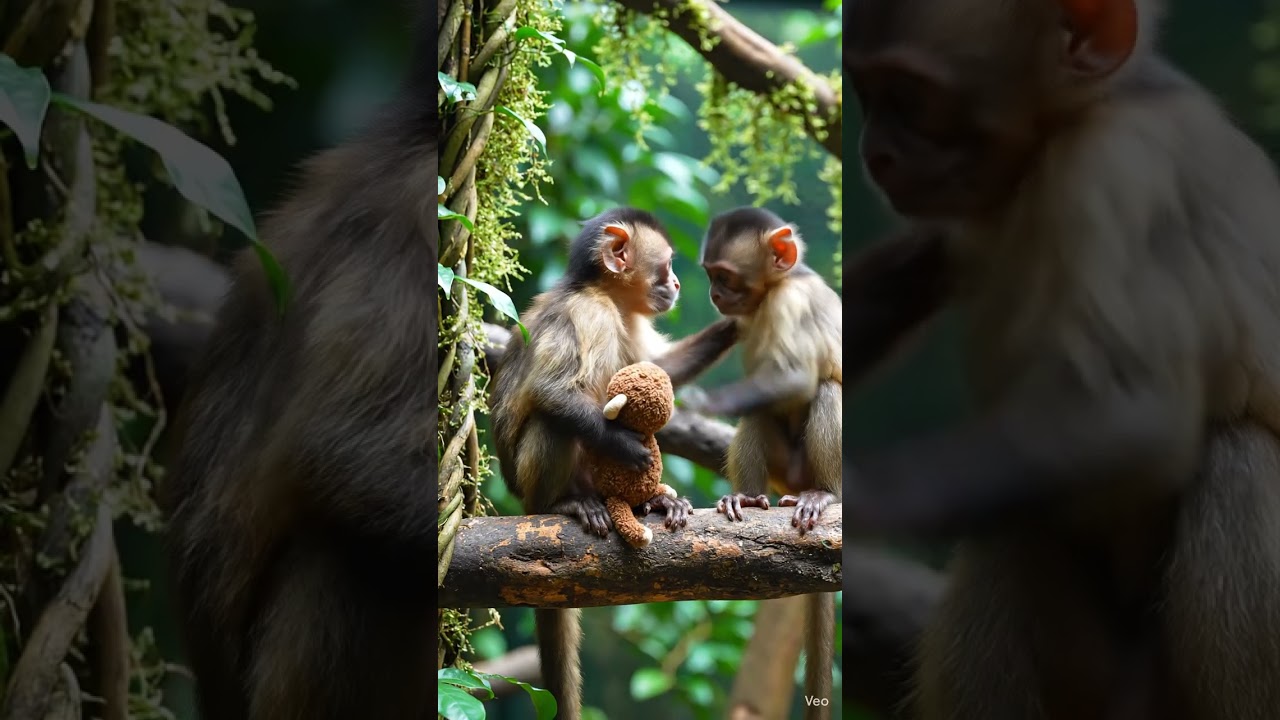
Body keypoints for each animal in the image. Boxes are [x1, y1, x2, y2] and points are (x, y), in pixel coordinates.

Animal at [488, 206, 740, 720]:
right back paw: (567, 504)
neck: (606, 295)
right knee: (553, 421)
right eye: (667, 265)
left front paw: (738, 323)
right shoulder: (590, 313)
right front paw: (629, 451)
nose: (677, 283)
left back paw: (650, 503)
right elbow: (551, 393)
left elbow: (663, 369)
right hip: (531, 484)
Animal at [687, 206, 841, 720]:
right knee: (757, 413)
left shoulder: (792, 300)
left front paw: (700, 402)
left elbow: (797, 378)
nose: (715, 295)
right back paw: (748, 499)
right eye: (710, 276)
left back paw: (824, 494)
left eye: (726, 276)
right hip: (784, 471)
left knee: (826, 389)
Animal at [842, 0, 1280, 717]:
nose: (875, 155)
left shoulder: (1119, 169)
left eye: (909, 96)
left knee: (1241, 460)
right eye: (865, 92)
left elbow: (1133, 413)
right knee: (1013, 523)